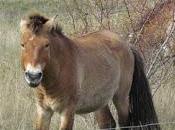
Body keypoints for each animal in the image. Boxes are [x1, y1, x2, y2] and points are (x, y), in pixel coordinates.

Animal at [19, 13, 160, 130]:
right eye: (22, 45)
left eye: (46, 45)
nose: (33, 76)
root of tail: (127, 45)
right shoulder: (43, 111)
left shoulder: (67, 112)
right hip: (100, 102)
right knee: (107, 123)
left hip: (121, 99)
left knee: (124, 124)